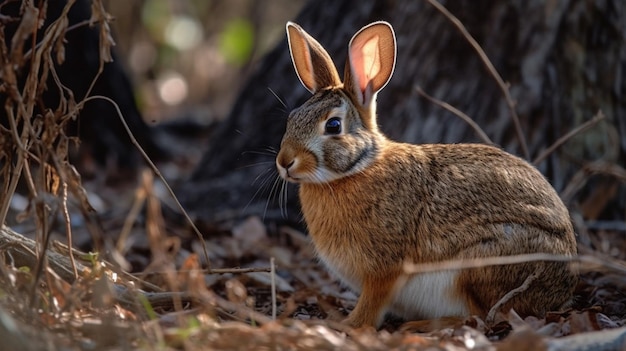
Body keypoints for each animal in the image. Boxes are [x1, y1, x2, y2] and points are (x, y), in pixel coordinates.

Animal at [276, 21, 576, 330]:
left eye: (334, 126)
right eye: (292, 118)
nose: (285, 162)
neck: (358, 167)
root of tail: (562, 289)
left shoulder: (385, 269)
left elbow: (372, 304)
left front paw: (348, 324)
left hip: (479, 264)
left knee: (482, 316)